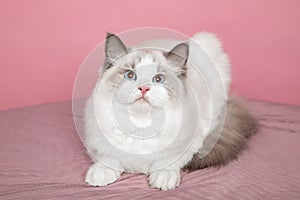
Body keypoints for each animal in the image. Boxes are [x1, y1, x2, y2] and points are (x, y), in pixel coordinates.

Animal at [83, 32, 256, 190]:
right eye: (130, 75)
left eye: (158, 79)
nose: (144, 88)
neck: (141, 124)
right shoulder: (97, 141)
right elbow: (108, 158)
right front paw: (100, 175)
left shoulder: (189, 144)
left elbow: (167, 161)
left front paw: (163, 177)